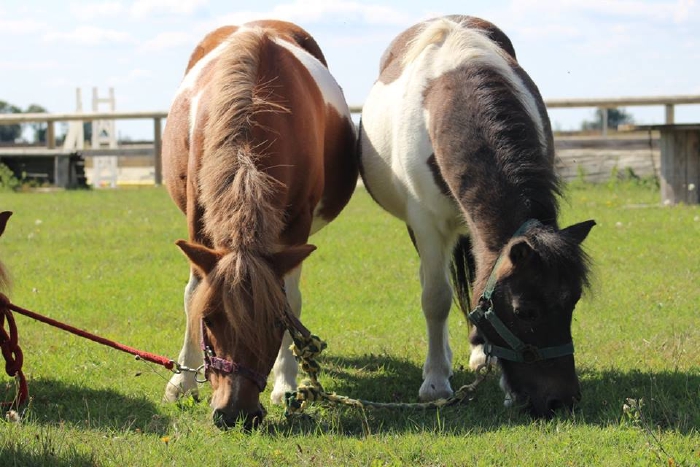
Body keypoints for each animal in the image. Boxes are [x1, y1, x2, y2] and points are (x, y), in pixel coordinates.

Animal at [162, 22, 358, 432]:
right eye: (209, 320)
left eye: (274, 324)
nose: (234, 413)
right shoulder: (197, 219)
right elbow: (193, 293)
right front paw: (182, 382)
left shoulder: (296, 227)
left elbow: (290, 298)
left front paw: (287, 384)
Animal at [360, 15, 596, 416]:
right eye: (525, 311)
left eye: (573, 302)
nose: (560, 401)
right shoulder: (425, 225)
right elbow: (436, 298)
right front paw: (435, 382)